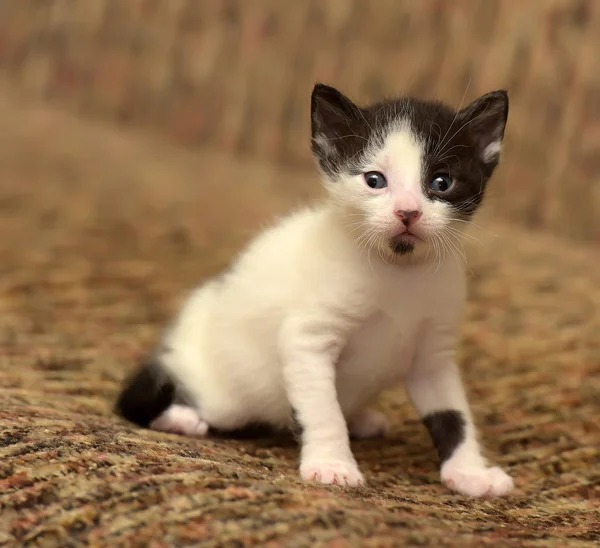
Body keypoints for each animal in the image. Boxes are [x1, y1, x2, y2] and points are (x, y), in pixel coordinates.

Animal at [118, 83, 516, 498]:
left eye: (441, 182)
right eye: (375, 180)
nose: (408, 212)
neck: (400, 271)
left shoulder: (433, 355)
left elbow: (454, 415)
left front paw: (471, 472)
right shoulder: (307, 339)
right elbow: (323, 409)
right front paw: (332, 465)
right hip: (216, 393)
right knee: (139, 398)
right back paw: (180, 417)